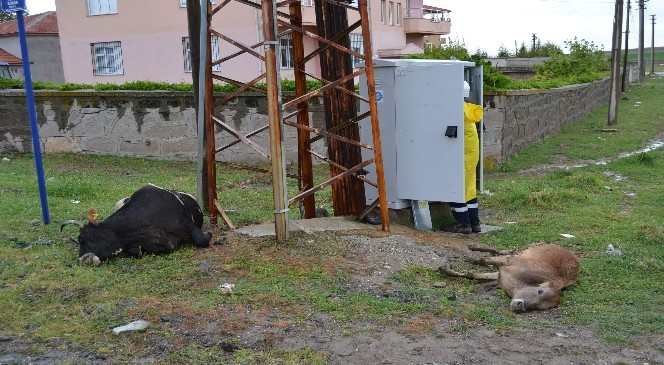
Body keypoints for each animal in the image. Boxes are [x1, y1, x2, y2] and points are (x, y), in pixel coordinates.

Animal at [61, 185, 213, 264]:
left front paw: (210, 234)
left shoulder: (189, 225)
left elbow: (202, 240)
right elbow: (137, 252)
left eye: (83, 239)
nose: (82, 259)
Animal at [438, 243, 580, 312]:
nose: (520, 306)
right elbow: (483, 261)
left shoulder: (499, 276)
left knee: (501, 252)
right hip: (524, 251)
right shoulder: (508, 262)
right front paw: (469, 259)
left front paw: (445, 269)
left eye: (539, 307)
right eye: (539, 291)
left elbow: (472, 274)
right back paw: (472, 248)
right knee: (501, 251)